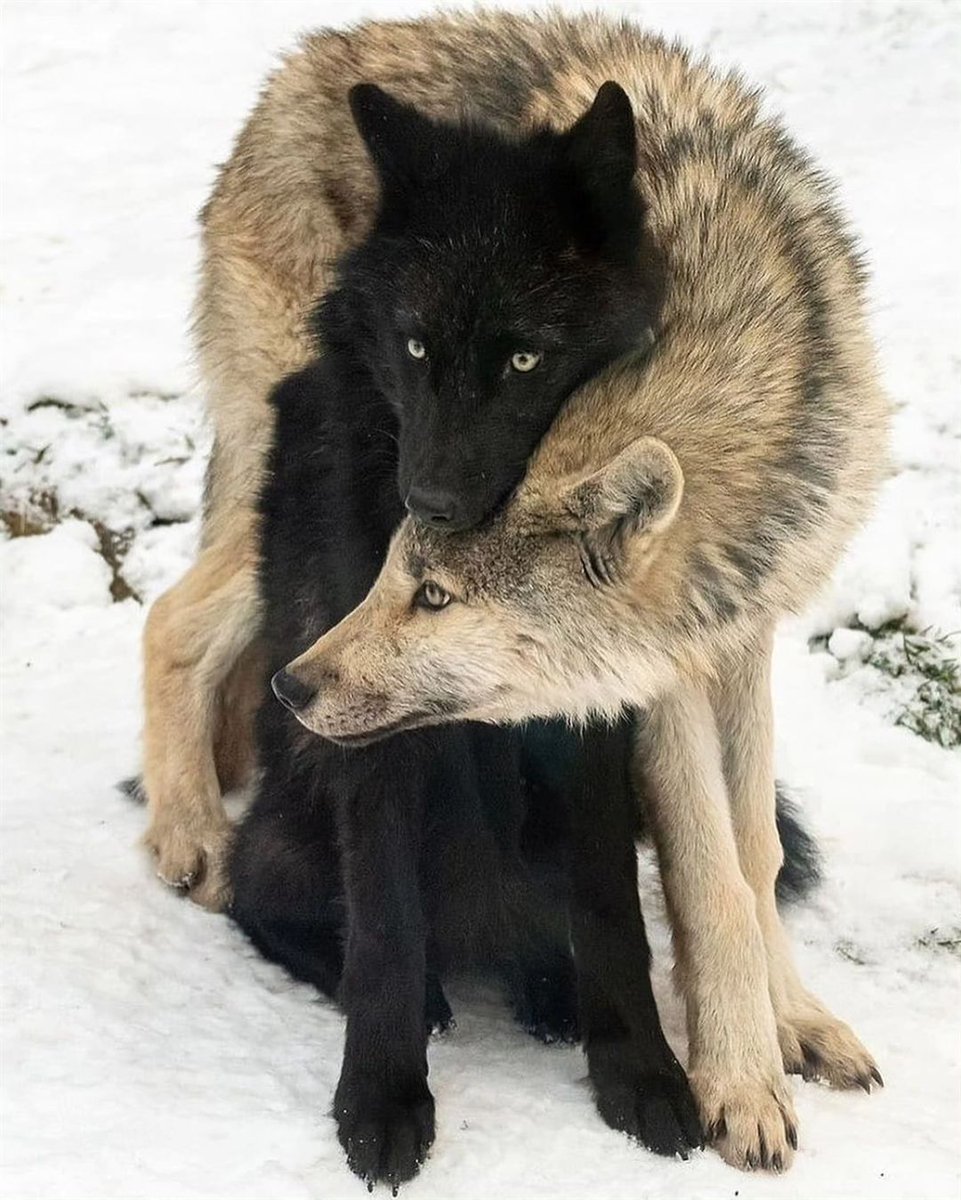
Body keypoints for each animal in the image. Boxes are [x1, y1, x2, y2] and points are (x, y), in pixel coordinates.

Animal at [266, 78, 890, 1176]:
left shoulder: (717, 642)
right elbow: (701, 877)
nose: (291, 685)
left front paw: (714, 1058)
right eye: (418, 346)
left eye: (525, 356)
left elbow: (729, 867)